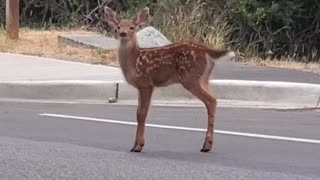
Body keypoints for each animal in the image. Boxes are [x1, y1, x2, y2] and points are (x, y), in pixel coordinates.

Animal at [104, 5, 236, 153]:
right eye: (118, 26)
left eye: (132, 27)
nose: (123, 33)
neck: (135, 60)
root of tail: (207, 51)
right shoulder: (140, 86)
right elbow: (138, 113)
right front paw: (134, 145)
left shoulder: (146, 83)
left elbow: (142, 113)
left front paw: (138, 146)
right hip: (204, 79)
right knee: (213, 99)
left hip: (190, 77)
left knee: (211, 100)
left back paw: (206, 146)